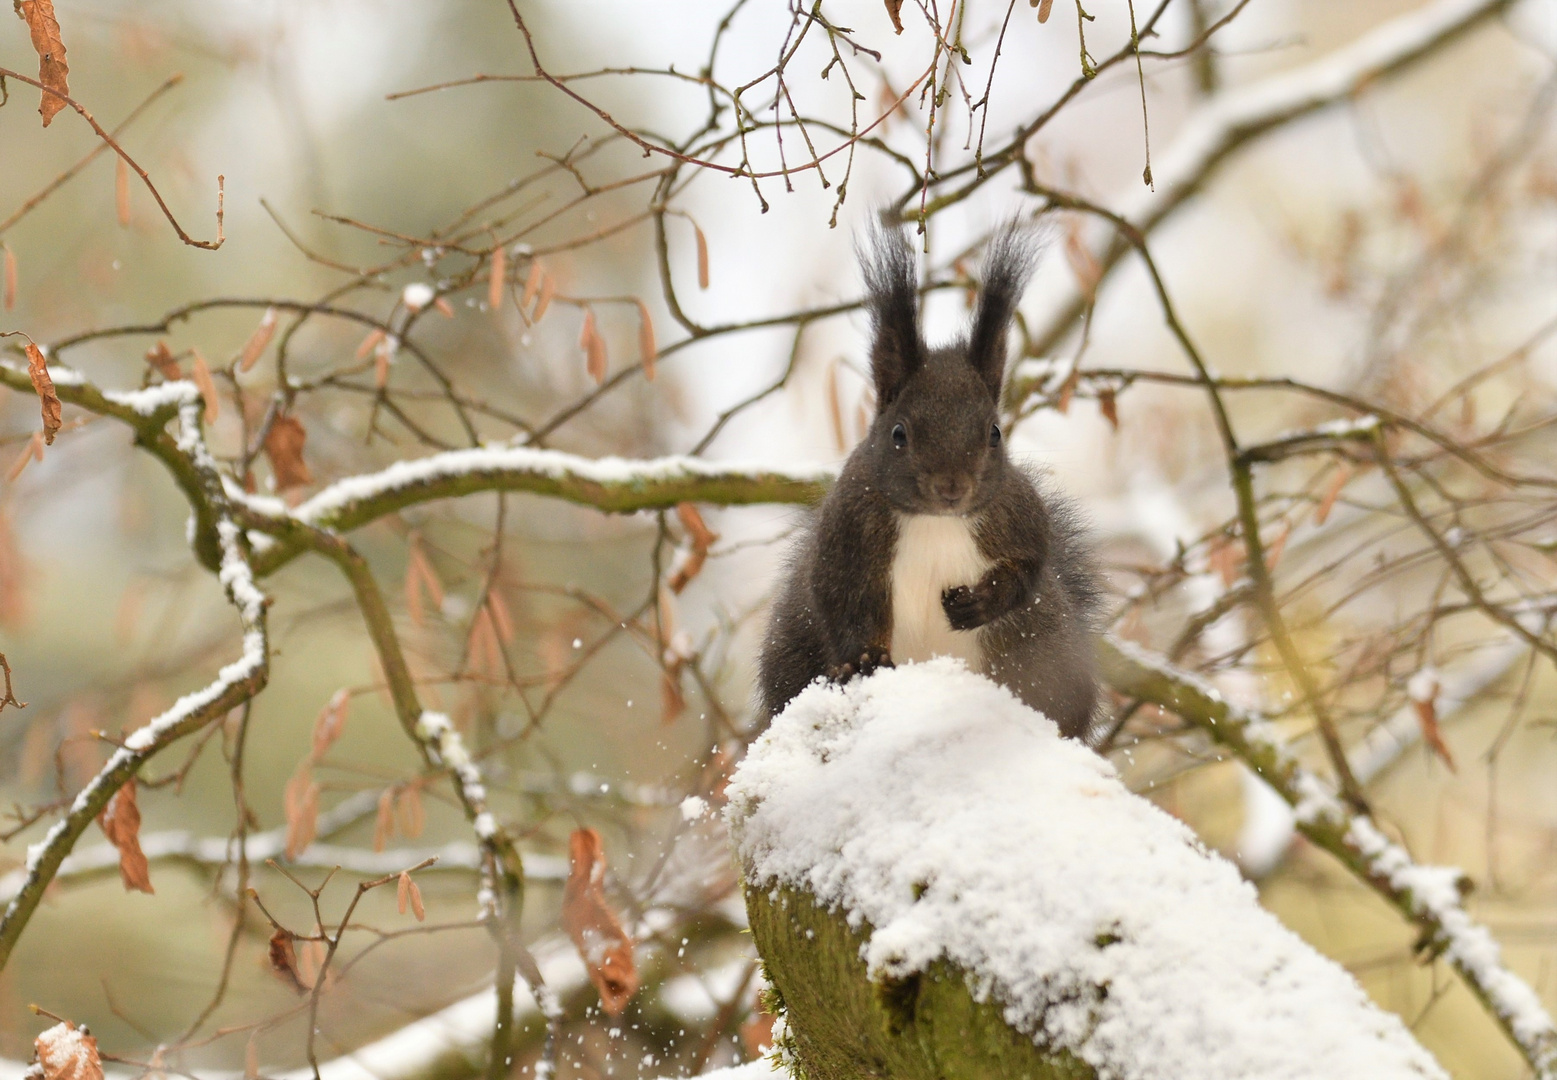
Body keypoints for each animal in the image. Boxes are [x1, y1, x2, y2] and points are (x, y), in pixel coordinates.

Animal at [756, 224, 1102, 740]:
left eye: (995, 432)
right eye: (899, 433)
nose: (952, 487)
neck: (936, 520)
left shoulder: (1018, 513)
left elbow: (1029, 567)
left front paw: (979, 603)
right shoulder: (848, 531)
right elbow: (840, 598)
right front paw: (864, 659)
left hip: (1050, 651)